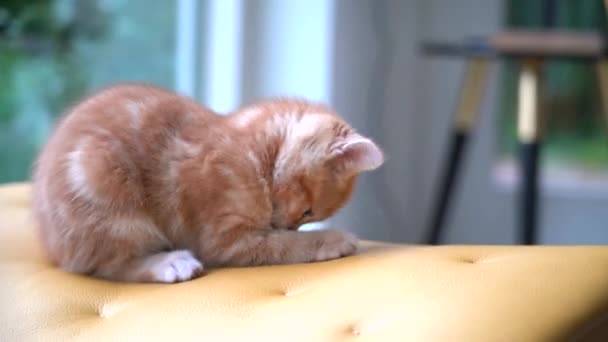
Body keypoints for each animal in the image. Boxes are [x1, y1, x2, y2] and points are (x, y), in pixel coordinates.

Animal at [30, 83, 382, 284]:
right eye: (309, 212)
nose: (286, 225)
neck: (255, 151)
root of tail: (51, 244)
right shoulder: (227, 240)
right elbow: (285, 246)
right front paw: (335, 239)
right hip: (105, 189)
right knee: (106, 265)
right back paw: (171, 263)